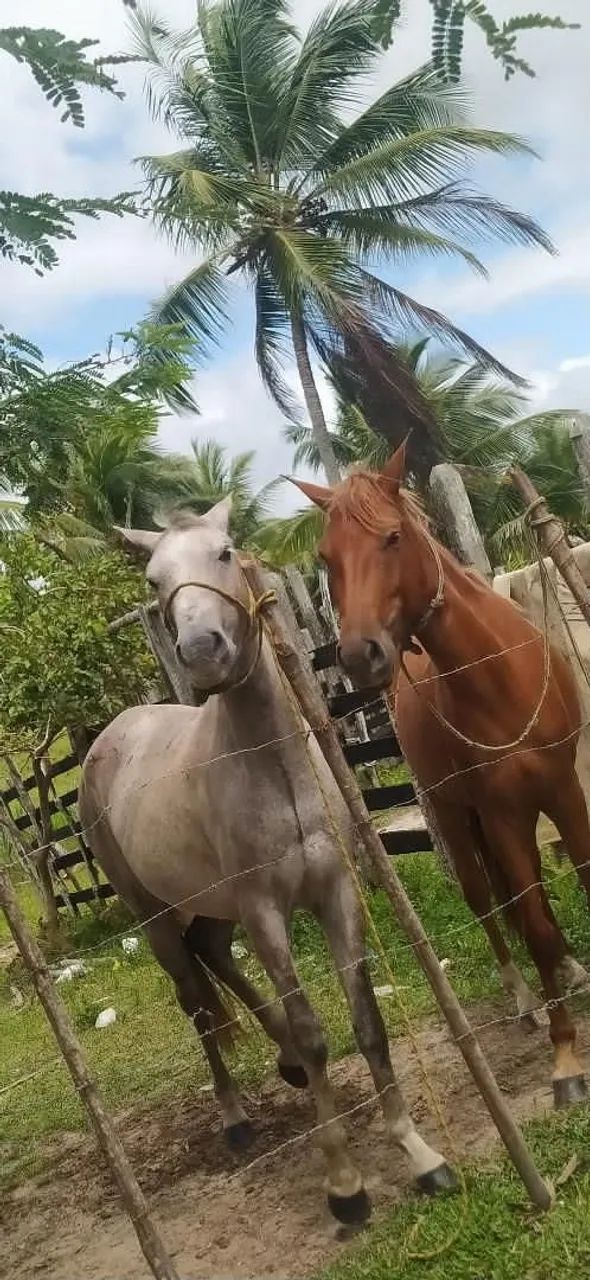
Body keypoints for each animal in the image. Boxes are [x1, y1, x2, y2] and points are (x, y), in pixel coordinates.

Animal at [79, 498, 455, 1227]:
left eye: (225, 552)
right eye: (153, 581)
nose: (202, 651)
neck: (275, 767)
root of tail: (109, 737)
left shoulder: (335, 892)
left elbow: (366, 1021)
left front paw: (419, 1153)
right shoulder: (267, 913)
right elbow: (313, 1032)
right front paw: (345, 1183)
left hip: (211, 906)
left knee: (216, 958)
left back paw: (280, 1061)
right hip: (158, 916)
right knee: (196, 1001)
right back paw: (234, 1116)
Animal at [294, 442, 590, 1109]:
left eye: (392, 536)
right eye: (326, 558)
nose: (360, 656)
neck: (497, 678)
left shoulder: (565, 791)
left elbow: (581, 880)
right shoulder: (501, 816)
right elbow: (531, 925)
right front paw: (565, 1058)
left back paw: (568, 970)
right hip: (456, 817)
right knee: (489, 902)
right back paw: (529, 998)